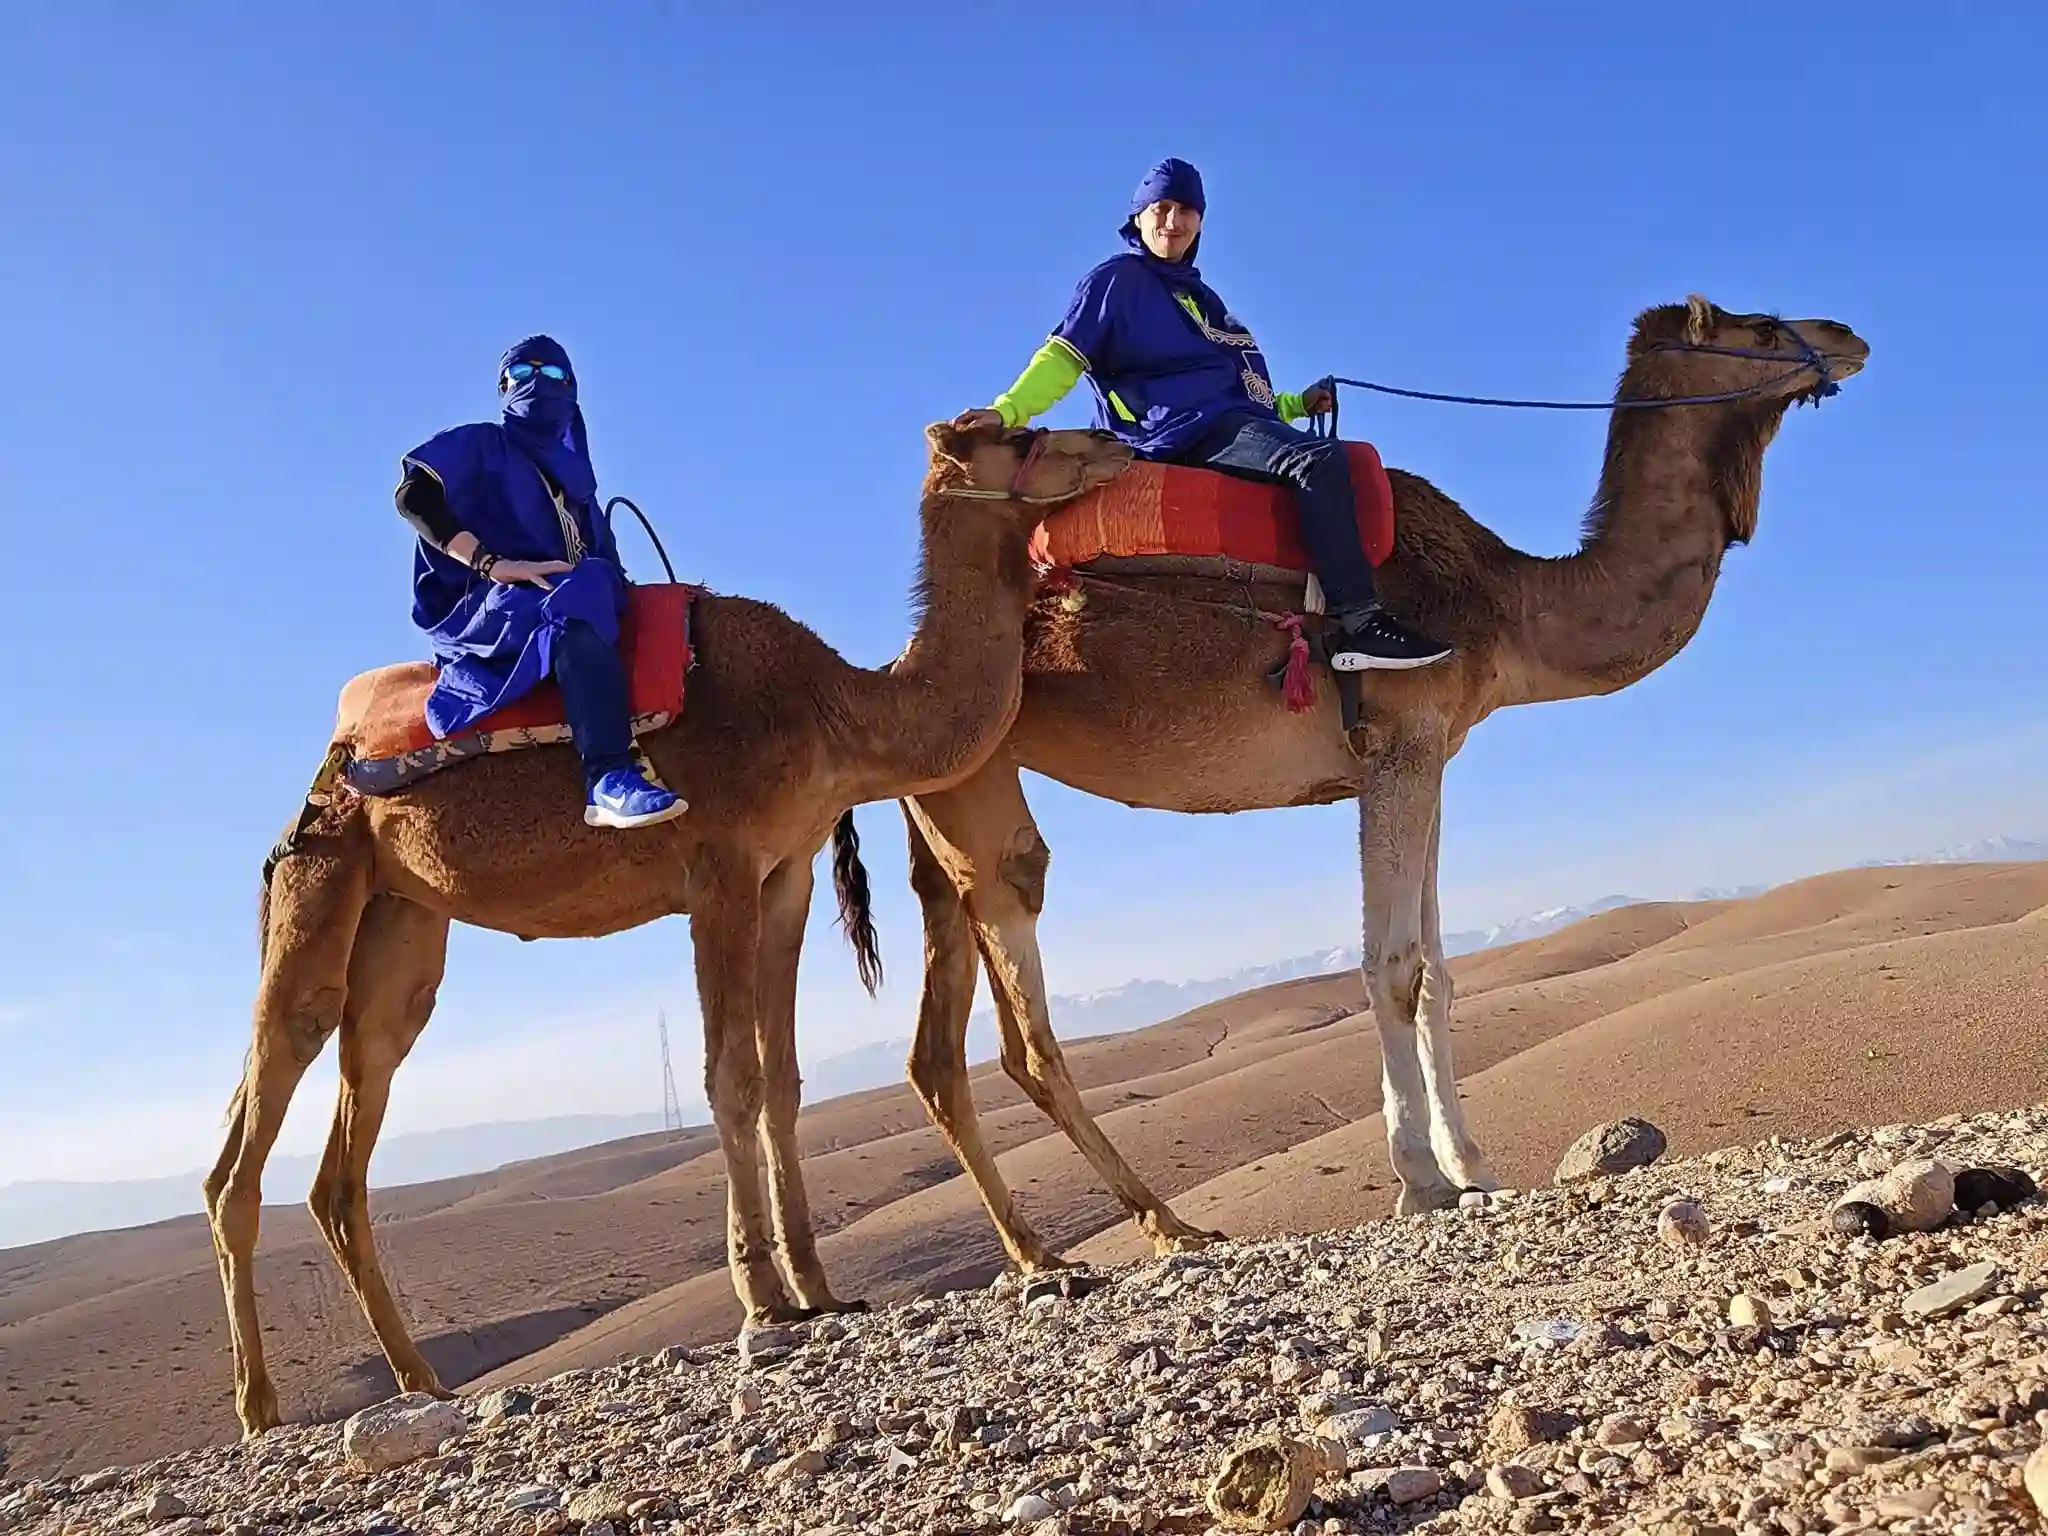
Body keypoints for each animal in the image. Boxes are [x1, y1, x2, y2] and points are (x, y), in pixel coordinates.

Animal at [202, 421, 1131, 1438]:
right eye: (1022, 435)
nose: (1114, 443)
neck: (836, 714)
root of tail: (329, 765)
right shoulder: (717, 870)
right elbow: (730, 1077)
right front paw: (763, 1297)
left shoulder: (785, 876)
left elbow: (782, 1081)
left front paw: (819, 1288)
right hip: (321, 876)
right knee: (258, 1111)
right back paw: (259, 1410)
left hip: (403, 921)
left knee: (354, 1117)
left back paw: (421, 1381)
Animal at [798, 297, 1867, 1275]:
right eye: (1760, 329)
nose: (1850, 335)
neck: (1507, 601)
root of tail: (896, 664)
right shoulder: (1398, 742)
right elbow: (1393, 968)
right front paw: (1421, 1180)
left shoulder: (1427, 753)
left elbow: (1439, 970)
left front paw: (1475, 1165)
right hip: (981, 798)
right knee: (1018, 986)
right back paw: (1152, 1231)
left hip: (943, 798)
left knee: (936, 1052)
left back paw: (1037, 1253)